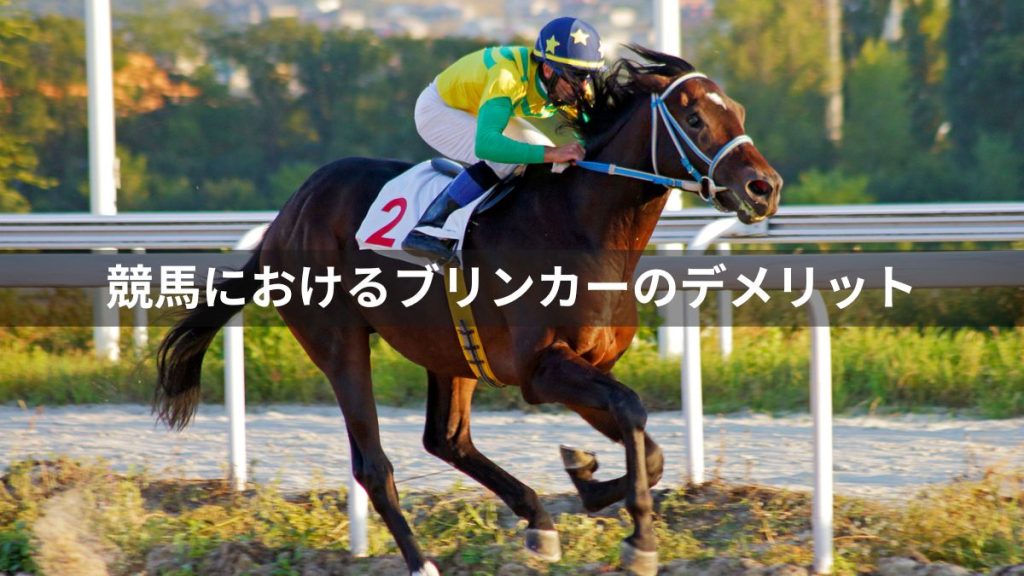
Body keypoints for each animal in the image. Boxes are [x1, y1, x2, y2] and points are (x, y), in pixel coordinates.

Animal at [154, 45, 782, 576]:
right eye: (695, 119)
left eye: (738, 111)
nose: (765, 187)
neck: (581, 228)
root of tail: (286, 216)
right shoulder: (540, 369)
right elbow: (632, 413)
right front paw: (639, 538)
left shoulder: (586, 365)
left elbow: (647, 447)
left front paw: (585, 476)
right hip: (339, 343)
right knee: (374, 466)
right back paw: (422, 563)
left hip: (451, 350)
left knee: (447, 440)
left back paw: (538, 520)